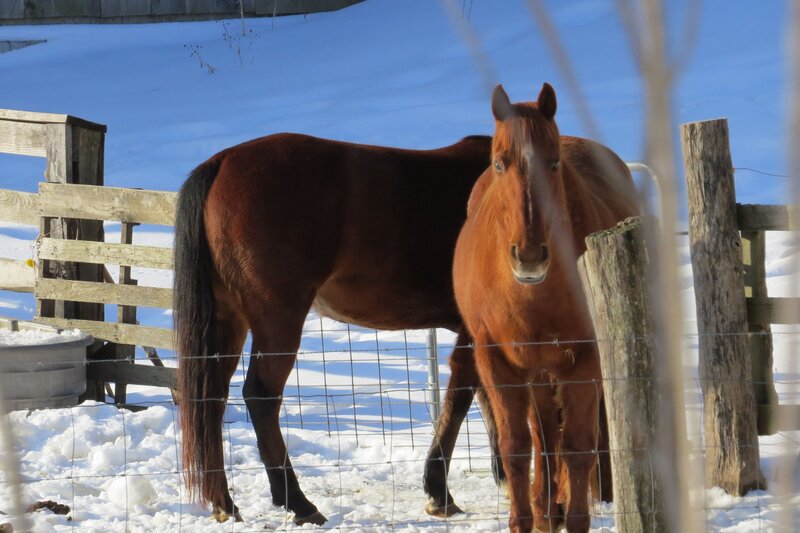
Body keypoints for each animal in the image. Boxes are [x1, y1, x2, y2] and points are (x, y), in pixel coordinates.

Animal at [173, 132, 506, 525]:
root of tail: (222, 161)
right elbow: (462, 398)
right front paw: (440, 491)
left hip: (228, 320)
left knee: (210, 399)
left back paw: (224, 503)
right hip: (278, 319)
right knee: (260, 396)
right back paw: (298, 502)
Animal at [452, 83, 639, 533]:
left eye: (553, 164)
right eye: (499, 163)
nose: (530, 256)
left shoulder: (584, 359)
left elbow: (578, 446)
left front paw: (572, 516)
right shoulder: (496, 363)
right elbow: (517, 448)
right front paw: (526, 518)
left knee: (558, 440)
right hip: (535, 372)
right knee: (542, 437)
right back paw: (544, 507)